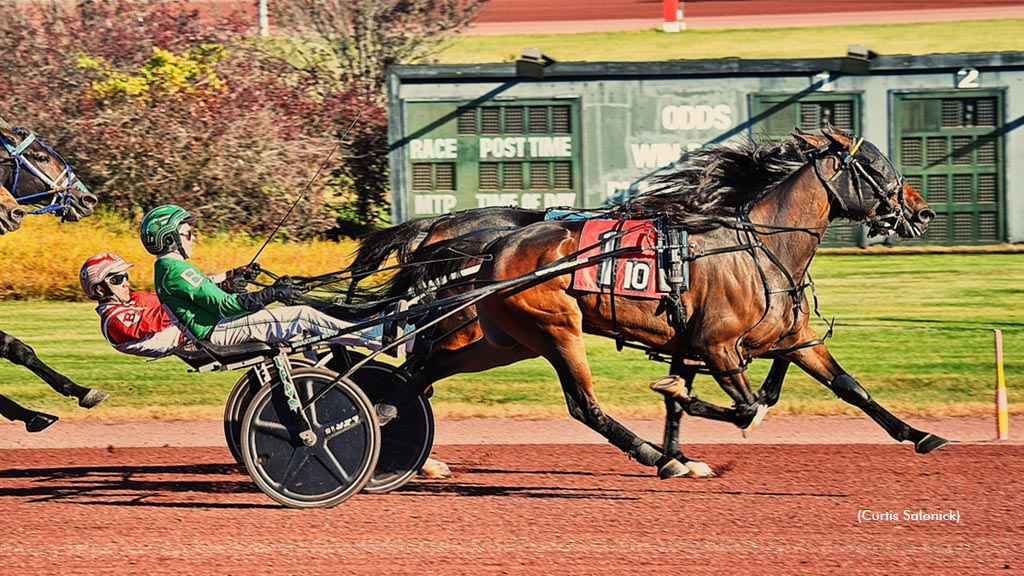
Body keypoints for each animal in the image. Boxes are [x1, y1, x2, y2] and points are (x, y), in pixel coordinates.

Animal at [376, 126, 942, 475]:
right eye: (873, 165)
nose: (922, 210)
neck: (759, 246)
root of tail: (494, 247)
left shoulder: (786, 337)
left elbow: (849, 387)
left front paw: (919, 435)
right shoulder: (716, 346)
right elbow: (744, 407)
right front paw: (680, 424)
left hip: (505, 340)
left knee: (424, 372)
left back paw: (390, 420)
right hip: (553, 329)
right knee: (583, 405)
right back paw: (652, 455)